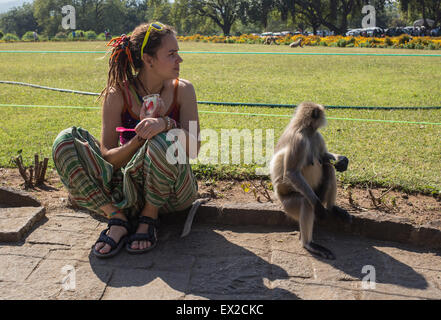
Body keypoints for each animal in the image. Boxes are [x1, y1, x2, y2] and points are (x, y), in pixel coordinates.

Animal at [268, 102, 350, 260]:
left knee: (328, 167)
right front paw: (318, 207)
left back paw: (332, 208)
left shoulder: (316, 135)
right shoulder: (298, 140)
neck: (305, 129)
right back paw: (309, 244)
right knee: (306, 202)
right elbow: (292, 173)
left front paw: (342, 160)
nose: (325, 118)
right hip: (288, 204)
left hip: (319, 192)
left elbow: (324, 155)